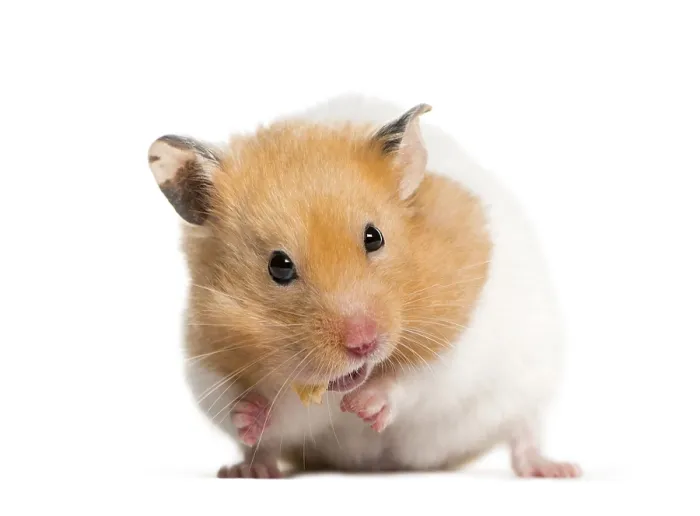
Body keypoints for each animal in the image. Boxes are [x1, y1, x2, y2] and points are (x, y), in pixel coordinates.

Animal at [147, 94, 581, 479]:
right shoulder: (204, 359)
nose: (363, 344)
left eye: (374, 237)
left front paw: (364, 407)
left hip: (526, 384)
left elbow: (416, 379)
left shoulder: (462, 340)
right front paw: (249, 414)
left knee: (524, 430)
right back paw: (249, 470)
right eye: (278, 266)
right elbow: (254, 407)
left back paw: (555, 470)